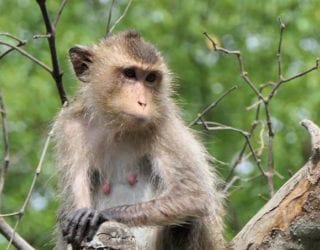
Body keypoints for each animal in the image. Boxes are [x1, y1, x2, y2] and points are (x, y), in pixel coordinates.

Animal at [53, 30, 224, 249]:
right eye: (130, 74)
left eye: (150, 78)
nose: (143, 102)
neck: (117, 128)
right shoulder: (71, 129)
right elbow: (74, 207)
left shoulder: (165, 128)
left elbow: (195, 196)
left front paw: (100, 215)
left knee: (188, 220)